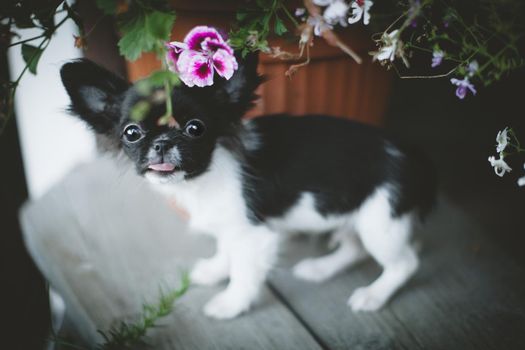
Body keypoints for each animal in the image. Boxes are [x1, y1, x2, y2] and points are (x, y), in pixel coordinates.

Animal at [60, 56, 434, 320]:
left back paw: (373, 294)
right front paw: (215, 270)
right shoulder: (230, 226)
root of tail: (413, 155)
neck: (203, 178)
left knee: (405, 264)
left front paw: (230, 303)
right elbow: (226, 250)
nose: (163, 142)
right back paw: (319, 269)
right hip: (354, 213)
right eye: (132, 133)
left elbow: (243, 272)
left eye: (195, 128)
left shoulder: (254, 235)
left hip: (380, 221)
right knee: (355, 249)